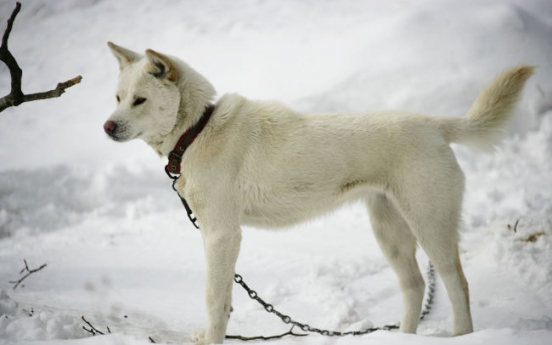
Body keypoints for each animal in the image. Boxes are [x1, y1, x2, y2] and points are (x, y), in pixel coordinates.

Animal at [104, 41, 536, 342]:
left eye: (140, 100)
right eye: (118, 98)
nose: (107, 127)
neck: (198, 128)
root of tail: (433, 124)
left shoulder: (222, 234)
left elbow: (215, 299)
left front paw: (211, 339)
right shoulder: (219, 235)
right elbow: (221, 298)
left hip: (430, 224)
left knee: (456, 282)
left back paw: (461, 336)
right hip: (390, 231)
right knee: (414, 286)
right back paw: (402, 338)